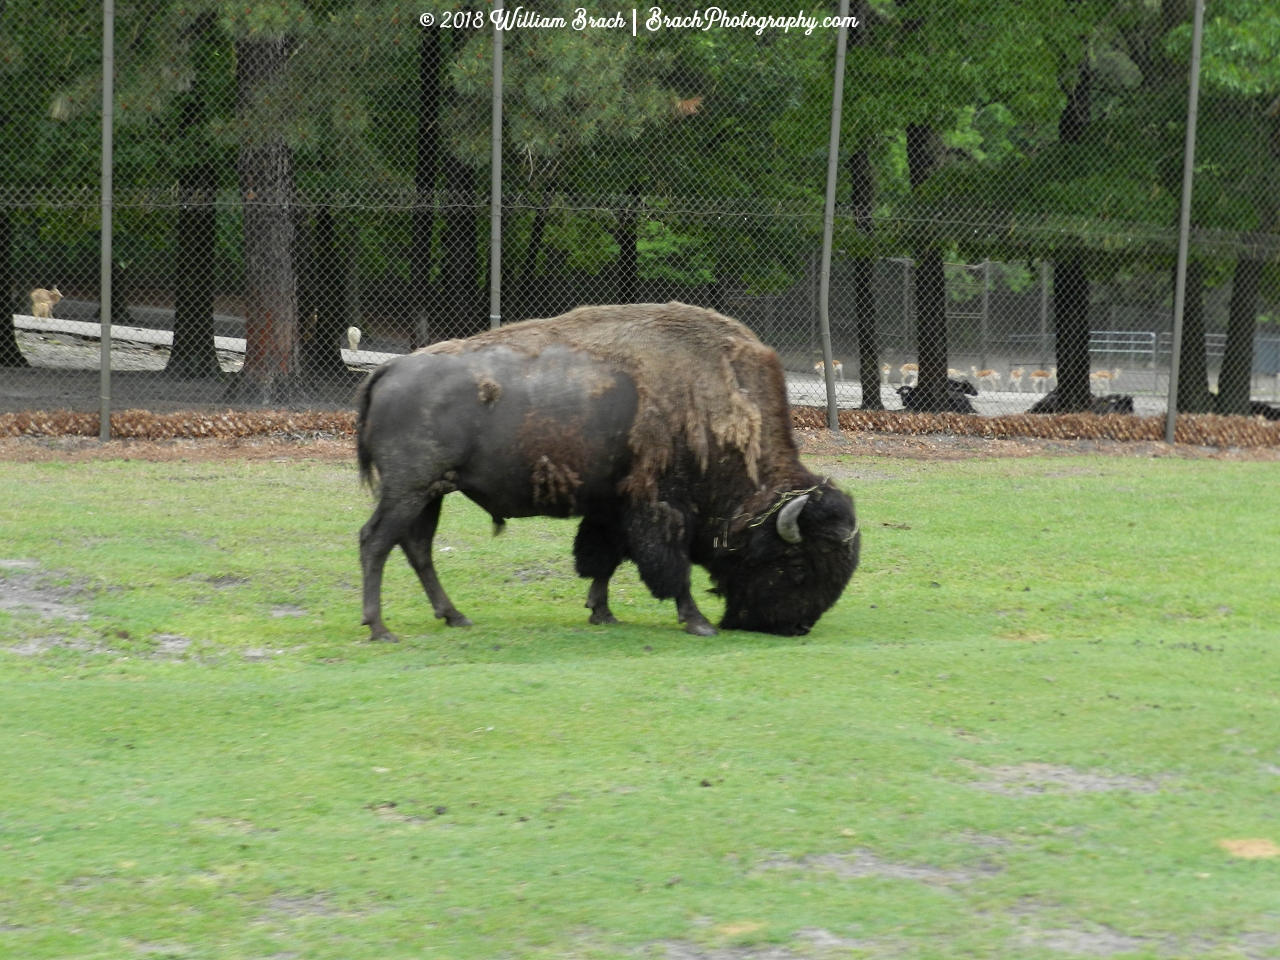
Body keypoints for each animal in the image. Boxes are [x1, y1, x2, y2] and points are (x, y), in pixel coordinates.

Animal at [355, 304, 865, 642]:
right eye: (797, 565)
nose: (797, 626)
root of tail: (390, 368)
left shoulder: (613, 504)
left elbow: (604, 557)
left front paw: (601, 612)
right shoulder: (663, 509)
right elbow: (670, 567)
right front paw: (697, 622)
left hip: (431, 492)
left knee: (417, 548)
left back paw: (454, 616)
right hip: (408, 489)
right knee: (376, 542)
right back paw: (380, 628)